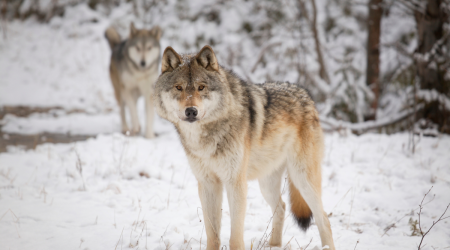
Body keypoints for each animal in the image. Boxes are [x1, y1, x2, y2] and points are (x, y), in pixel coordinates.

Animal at [154, 45, 334, 250]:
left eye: (201, 87)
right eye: (179, 87)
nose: (191, 111)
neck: (206, 138)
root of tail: (305, 94)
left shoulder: (235, 183)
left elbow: (235, 237)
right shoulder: (208, 184)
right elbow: (213, 235)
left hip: (302, 178)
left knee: (323, 218)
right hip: (267, 184)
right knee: (281, 208)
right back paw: (274, 246)